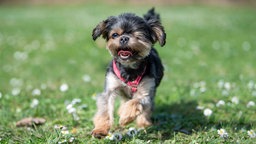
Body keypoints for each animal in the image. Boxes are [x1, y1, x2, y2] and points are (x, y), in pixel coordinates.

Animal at [91, 7, 165, 138]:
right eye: (115, 35)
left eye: (138, 36)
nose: (124, 38)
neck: (129, 69)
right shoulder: (110, 88)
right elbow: (105, 110)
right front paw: (100, 130)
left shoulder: (146, 92)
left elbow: (136, 102)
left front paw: (126, 118)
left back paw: (144, 123)